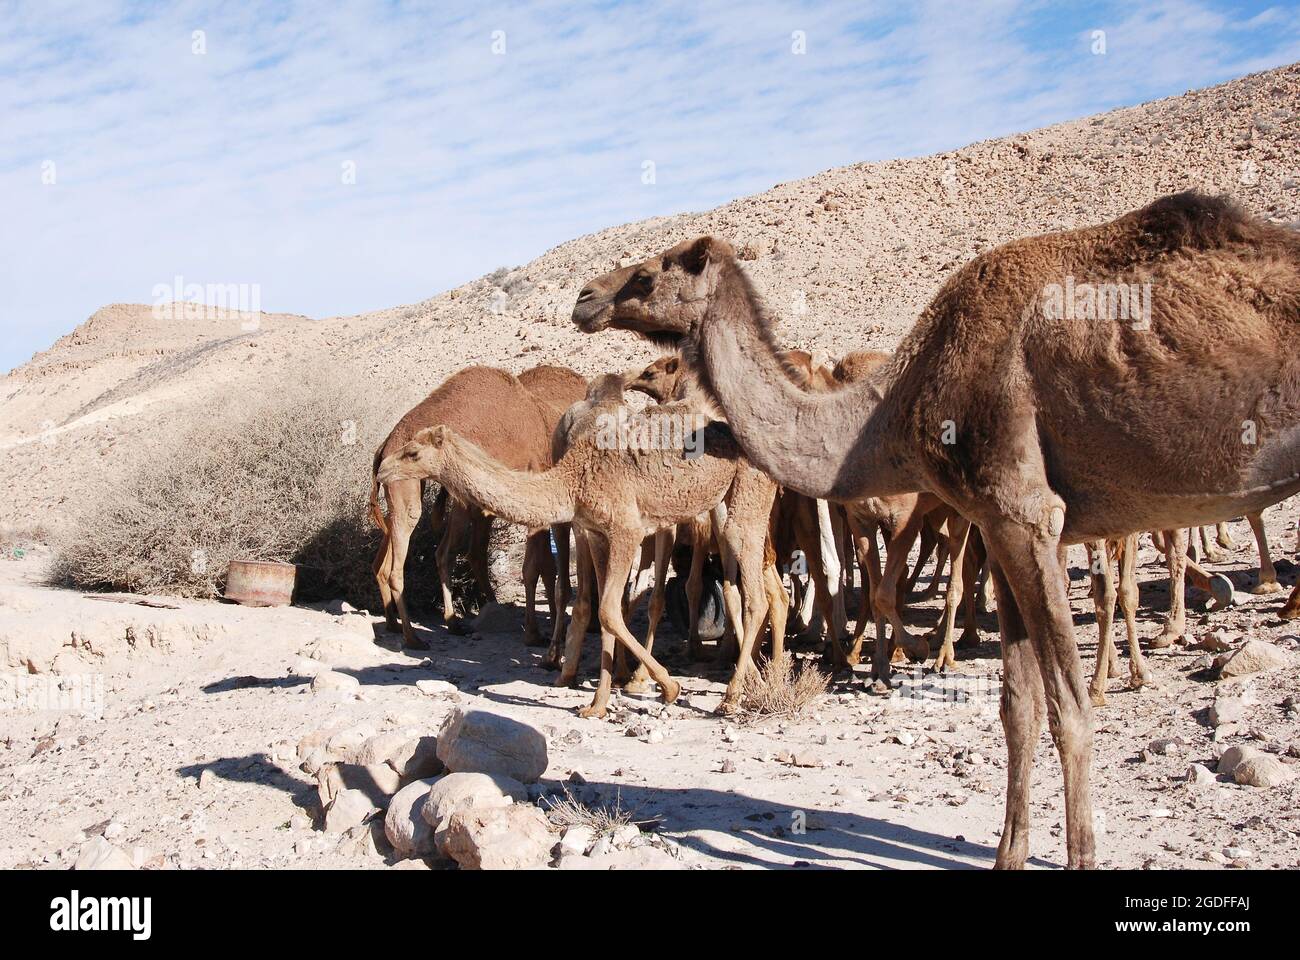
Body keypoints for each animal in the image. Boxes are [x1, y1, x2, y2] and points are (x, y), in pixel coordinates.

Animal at [571, 193, 1300, 870]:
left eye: (652, 271)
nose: (585, 296)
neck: (898, 406)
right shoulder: (1000, 530)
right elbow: (1018, 707)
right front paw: (1008, 855)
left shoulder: (1028, 514)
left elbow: (1068, 708)